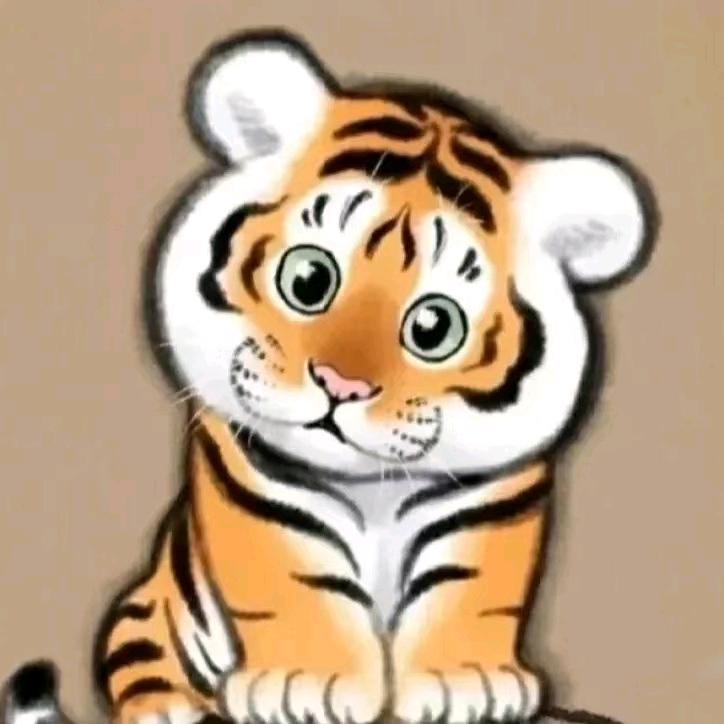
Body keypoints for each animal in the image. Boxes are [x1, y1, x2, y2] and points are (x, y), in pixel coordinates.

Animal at [2, 28, 655, 724]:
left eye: (434, 327)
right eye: (309, 279)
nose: (341, 386)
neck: (373, 489)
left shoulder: (496, 502)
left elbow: (468, 586)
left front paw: (466, 681)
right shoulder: (257, 494)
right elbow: (296, 583)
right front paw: (304, 682)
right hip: (146, 616)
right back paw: (168, 709)